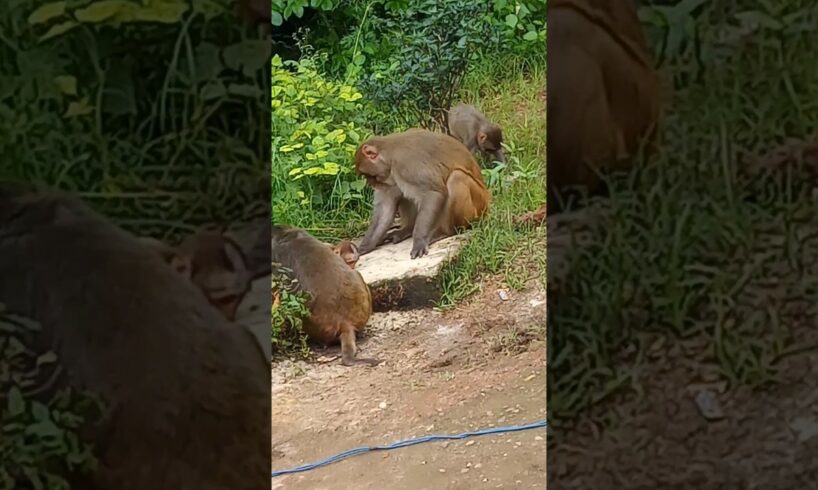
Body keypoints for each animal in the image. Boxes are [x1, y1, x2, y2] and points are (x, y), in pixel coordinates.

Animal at [355, 128, 491, 259]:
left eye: (369, 176)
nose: (371, 184)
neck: (390, 154)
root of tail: (487, 203)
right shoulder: (390, 178)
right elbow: (385, 209)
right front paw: (363, 248)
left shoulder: (406, 165)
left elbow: (433, 194)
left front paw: (420, 241)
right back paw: (407, 229)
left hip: (478, 206)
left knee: (456, 177)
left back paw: (444, 232)